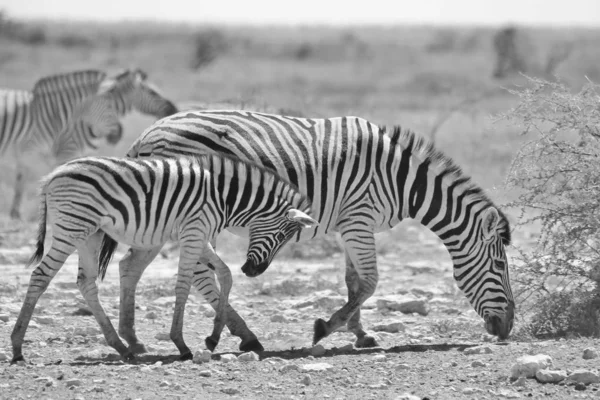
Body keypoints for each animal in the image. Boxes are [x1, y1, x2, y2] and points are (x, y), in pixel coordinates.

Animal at [10, 153, 318, 362]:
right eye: (282, 236)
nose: (253, 271)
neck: (225, 198)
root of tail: (53, 175)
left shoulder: (198, 233)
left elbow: (225, 274)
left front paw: (213, 338)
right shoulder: (194, 231)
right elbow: (183, 284)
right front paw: (181, 343)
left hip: (91, 233)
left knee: (86, 282)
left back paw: (121, 346)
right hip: (72, 227)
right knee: (41, 275)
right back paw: (17, 346)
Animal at [118, 110, 516, 354]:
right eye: (500, 266)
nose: (507, 328)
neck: (403, 181)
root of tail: (145, 135)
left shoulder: (353, 223)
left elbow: (354, 281)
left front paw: (360, 333)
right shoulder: (359, 219)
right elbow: (369, 283)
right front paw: (325, 328)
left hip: (162, 215)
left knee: (130, 265)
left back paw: (133, 340)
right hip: (188, 209)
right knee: (199, 274)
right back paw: (245, 335)